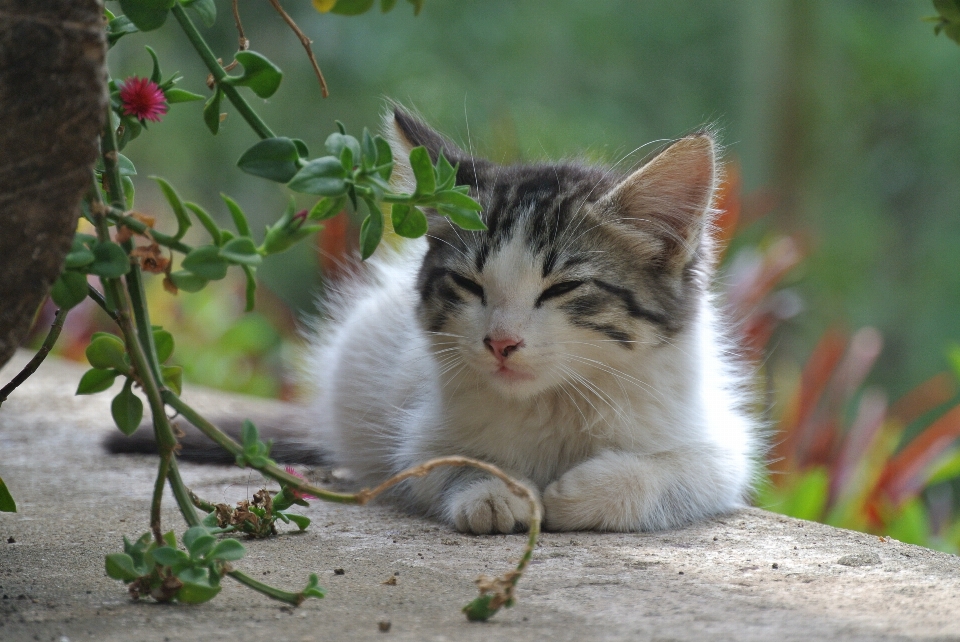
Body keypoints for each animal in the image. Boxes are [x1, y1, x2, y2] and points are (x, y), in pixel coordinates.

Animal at [300, 107, 756, 532]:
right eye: (468, 284)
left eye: (563, 288)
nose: (501, 342)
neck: (555, 401)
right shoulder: (419, 435)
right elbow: (443, 462)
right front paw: (494, 491)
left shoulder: (721, 446)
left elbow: (679, 470)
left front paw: (577, 493)